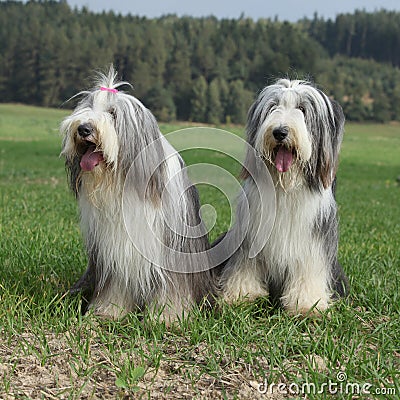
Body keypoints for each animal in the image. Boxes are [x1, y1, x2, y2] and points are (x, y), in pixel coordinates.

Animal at [60, 66, 216, 322]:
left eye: (113, 114)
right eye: (86, 108)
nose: (83, 128)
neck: (121, 181)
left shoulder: (169, 250)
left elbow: (172, 288)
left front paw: (166, 318)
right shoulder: (114, 251)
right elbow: (116, 285)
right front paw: (108, 311)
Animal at [220, 79, 348, 316]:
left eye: (303, 109)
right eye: (273, 107)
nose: (280, 131)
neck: (285, 187)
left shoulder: (314, 241)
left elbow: (309, 269)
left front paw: (307, 305)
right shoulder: (250, 235)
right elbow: (244, 266)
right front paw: (240, 296)